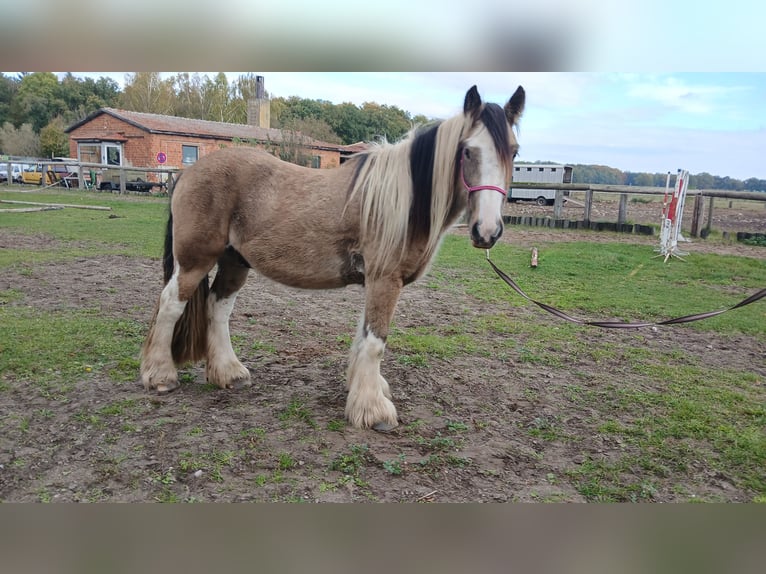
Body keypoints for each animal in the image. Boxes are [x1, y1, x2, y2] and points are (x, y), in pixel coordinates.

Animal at [140, 84, 525, 431]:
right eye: (467, 151)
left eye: (515, 152)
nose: (487, 231)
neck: (403, 200)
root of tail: (188, 172)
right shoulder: (385, 280)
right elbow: (376, 342)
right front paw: (373, 411)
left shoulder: (375, 282)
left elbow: (364, 337)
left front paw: (364, 390)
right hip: (195, 261)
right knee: (171, 304)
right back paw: (160, 375)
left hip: (235, 262)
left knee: (218, 307)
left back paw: (229, 373)